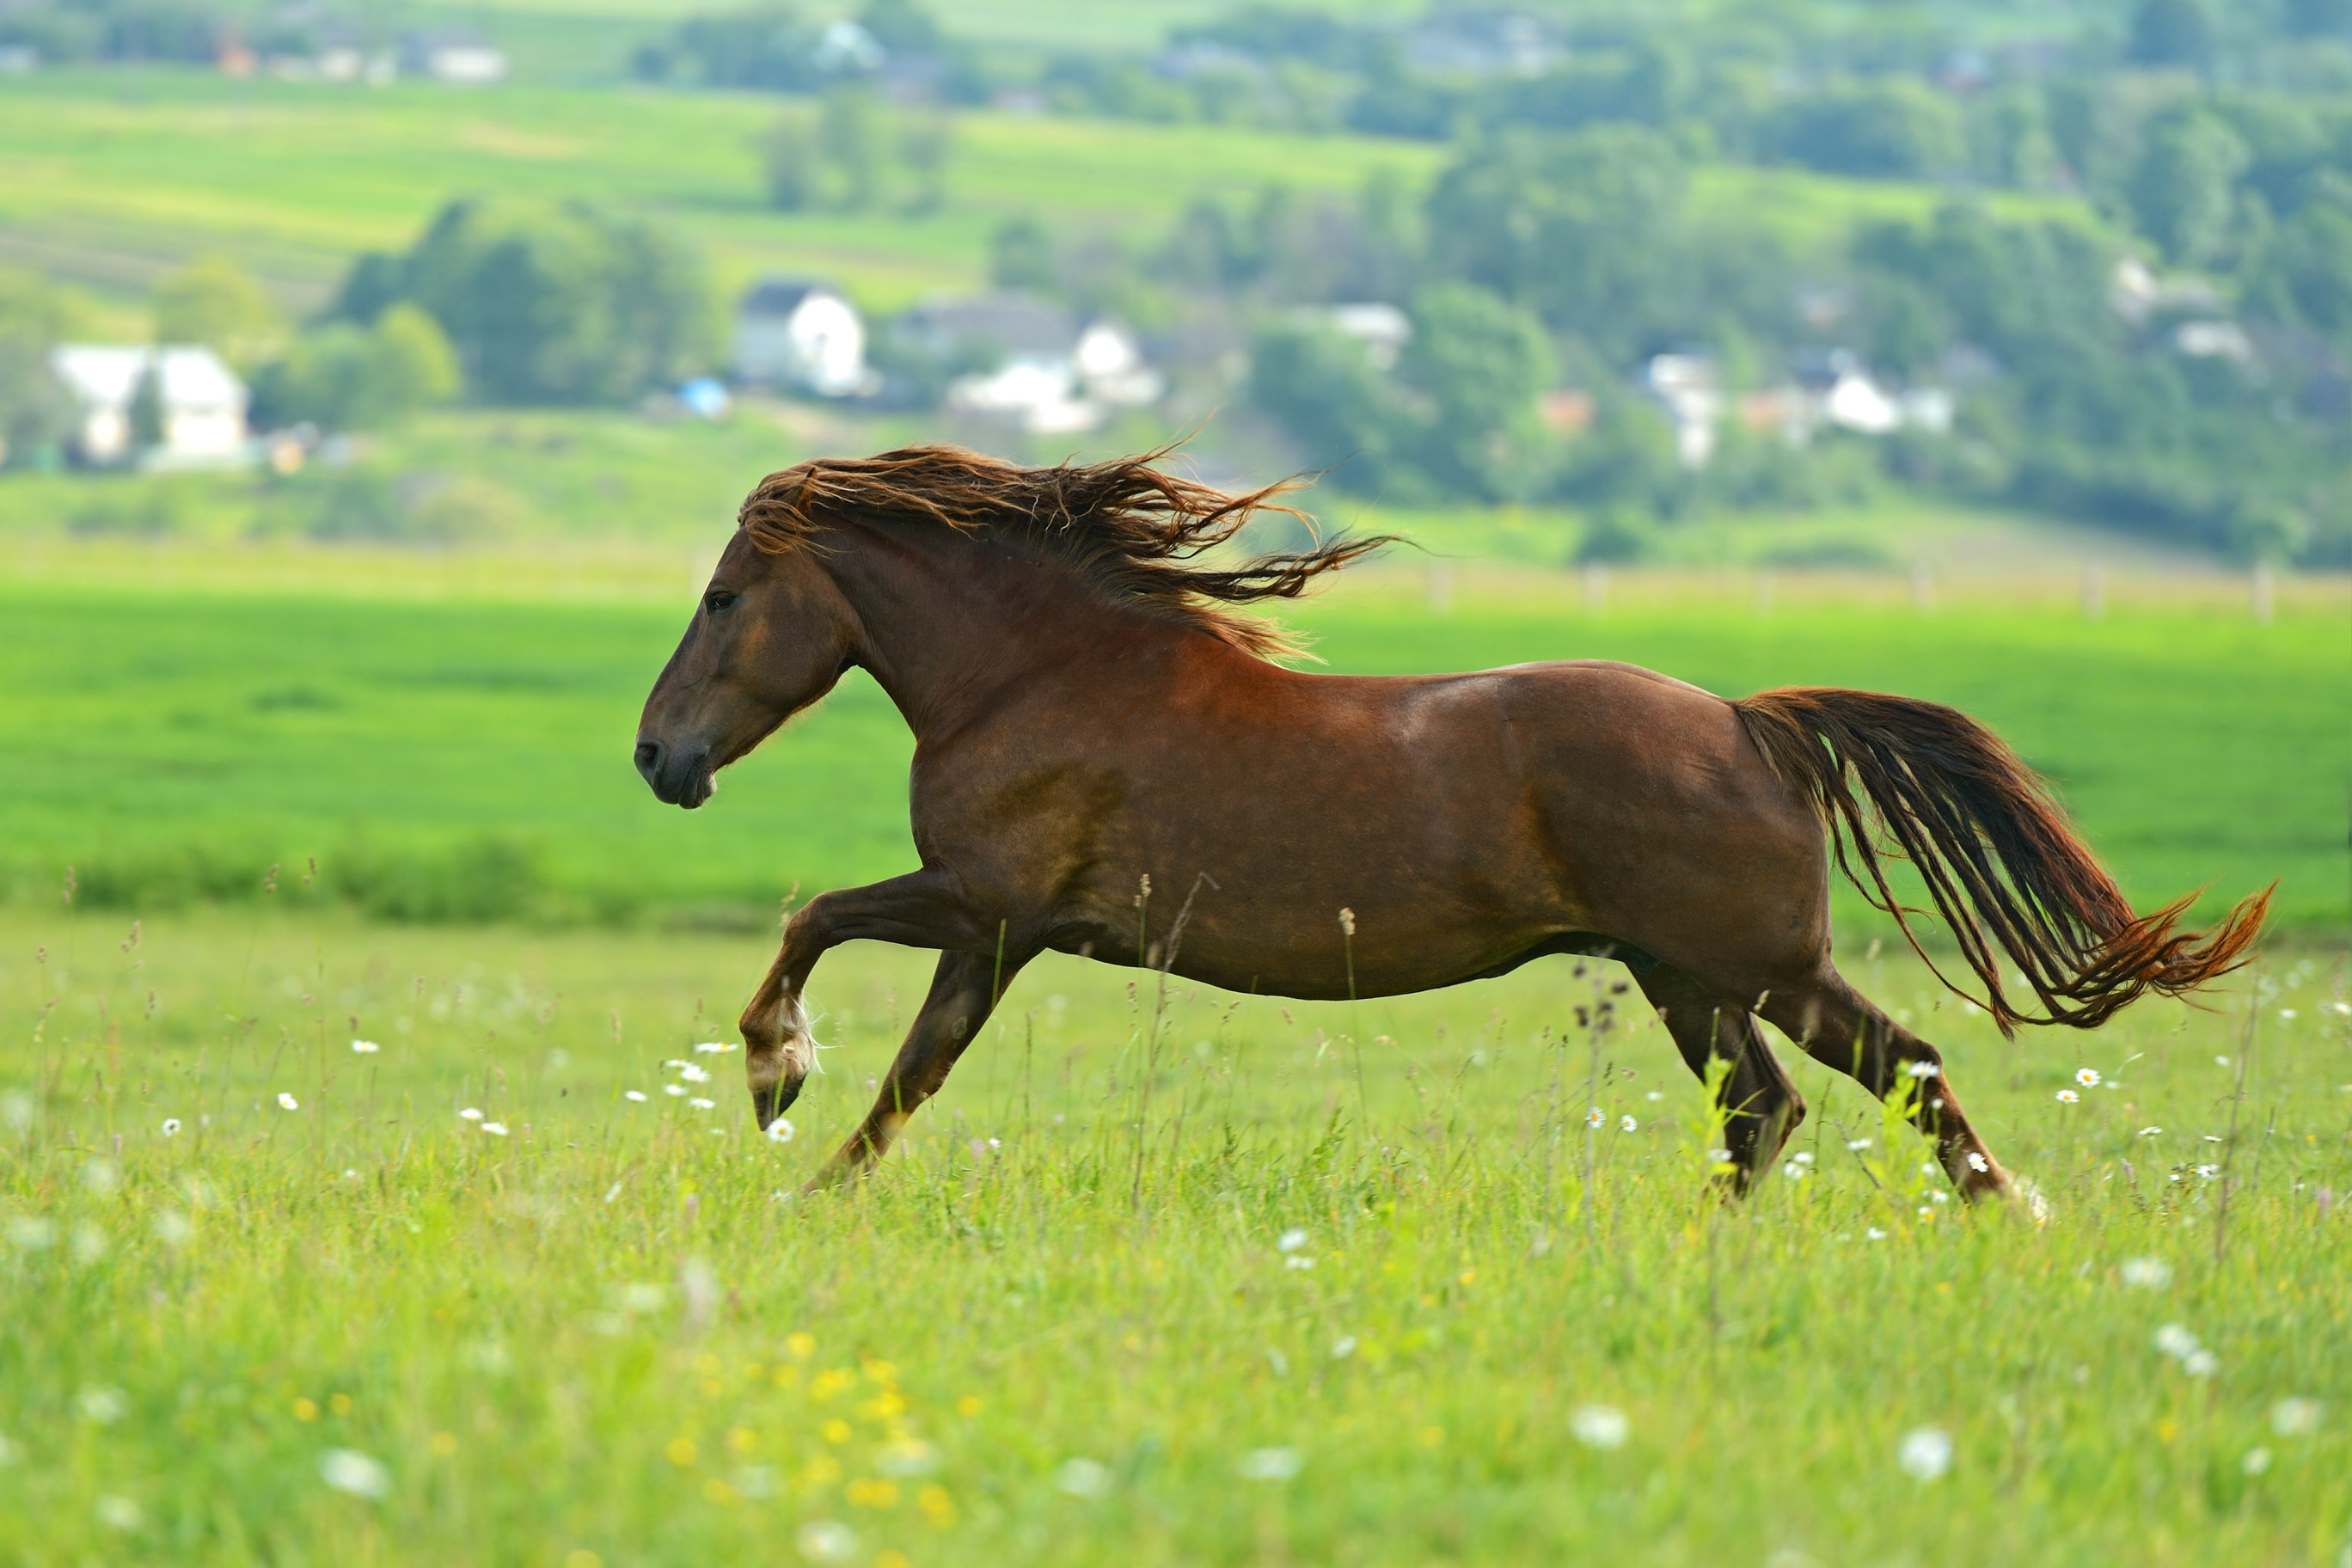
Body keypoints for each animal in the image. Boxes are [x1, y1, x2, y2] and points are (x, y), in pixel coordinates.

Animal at [634, 446, 2267, 1194]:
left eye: (722, 595)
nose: (660, 759)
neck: (1040, 671)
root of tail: (1750, 724)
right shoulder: (1000, 930)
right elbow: (904, 1067)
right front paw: (807, 1162)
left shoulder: (987, 906)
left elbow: (834, 959)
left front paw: (778, 1094)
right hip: (1695, 977)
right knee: (1825, 1091)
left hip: (1734, 968)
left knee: (1832, 1088)